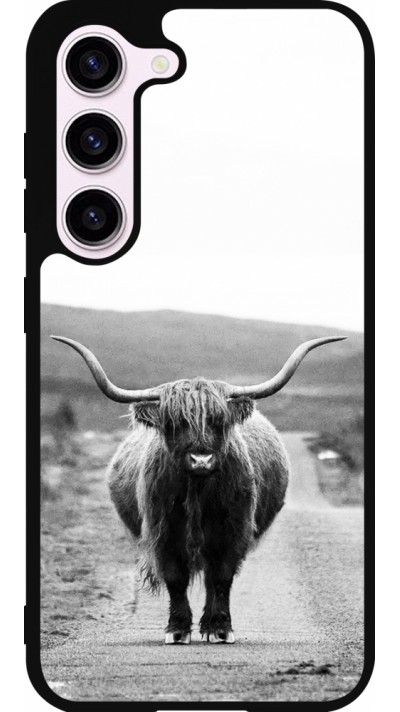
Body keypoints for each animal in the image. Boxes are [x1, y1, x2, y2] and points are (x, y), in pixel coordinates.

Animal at [51, 334, 345, 644]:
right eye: (174, 423)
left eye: (218, 420)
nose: (201, 459)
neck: (198, 491)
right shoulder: (163, 532)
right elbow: (175, 578)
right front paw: (177, 629)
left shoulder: (234, 531)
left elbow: (222, 577)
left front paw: (220, 628)